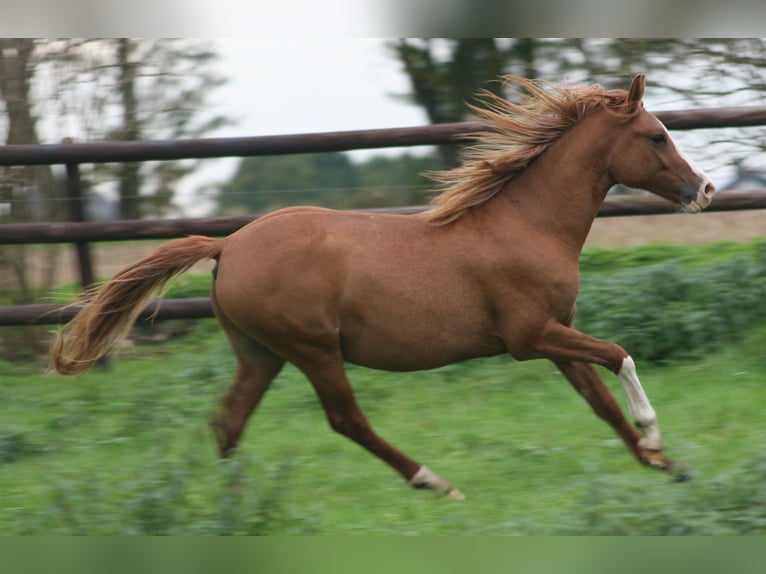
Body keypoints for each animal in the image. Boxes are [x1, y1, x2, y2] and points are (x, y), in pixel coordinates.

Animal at [51, 75, 716, 500]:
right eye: (656, 136)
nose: (705, 190)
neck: (527, 224)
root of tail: (227, 245)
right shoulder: (532, 337)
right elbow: (619, 356)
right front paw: (656, 438)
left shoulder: (555, 334)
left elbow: (599, 400)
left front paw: (665, 465)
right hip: (313, 349)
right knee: (346, 419)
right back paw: (435, 483)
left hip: (261, 354)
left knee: (229, 421)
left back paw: (233, 503)